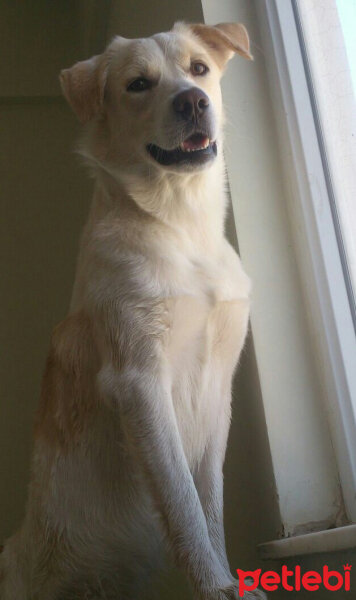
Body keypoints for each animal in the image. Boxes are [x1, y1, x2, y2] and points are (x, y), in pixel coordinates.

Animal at [0, 21, 266, 596]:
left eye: (198, 69)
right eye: (138, 84)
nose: (193, 101)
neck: (182, 225)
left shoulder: (217, 393)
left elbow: (210, 505)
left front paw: (228, 578)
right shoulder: (140, 381)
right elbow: (183, 505)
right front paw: (214, 586)